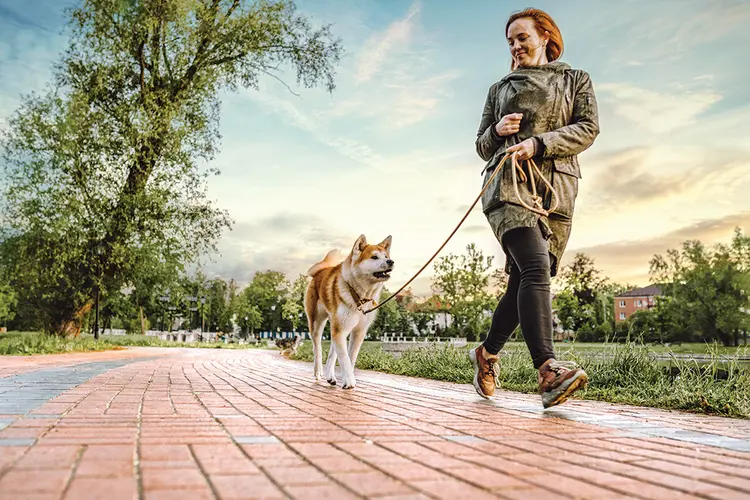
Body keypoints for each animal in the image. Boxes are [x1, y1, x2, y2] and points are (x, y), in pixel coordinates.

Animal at [304, 232, 396, 388]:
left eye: (386, 256)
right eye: (374, 257)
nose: (391, 261)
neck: (360, 296)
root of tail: (321, 271)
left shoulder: (358, 331)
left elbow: (350, 357)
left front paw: (348, 377)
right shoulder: (340, 330)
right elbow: (344, 358)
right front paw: (348, 381)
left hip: (336, 324)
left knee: (332, 352)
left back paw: (330, 376)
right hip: (317, 323)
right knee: (318, 349)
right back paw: (318, 372)